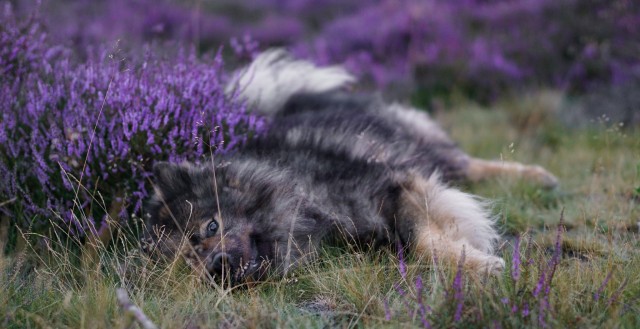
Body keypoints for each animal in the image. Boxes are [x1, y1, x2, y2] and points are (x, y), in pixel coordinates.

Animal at [142, 49, 556, 284]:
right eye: (189, 260)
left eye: (210, 227)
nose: (215, 267)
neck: (300, 195)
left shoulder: (394, 187)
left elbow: (423, 241)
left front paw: (481, 266)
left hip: (416, 142)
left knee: (467, 164)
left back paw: (538, 177)